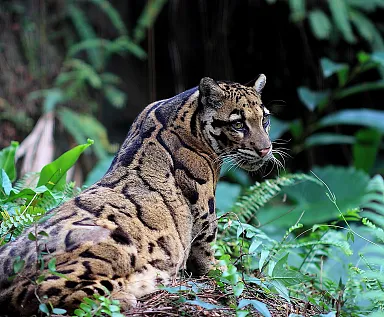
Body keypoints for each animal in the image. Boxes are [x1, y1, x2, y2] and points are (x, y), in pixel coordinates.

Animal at [0, 73, 272, 314]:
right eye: (238, 124)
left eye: (265, 120)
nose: (266, 149)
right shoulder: (205, 207)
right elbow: (207, 246)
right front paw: (221, 270)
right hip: (112, 245)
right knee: (43, 293)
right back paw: (122, 298)